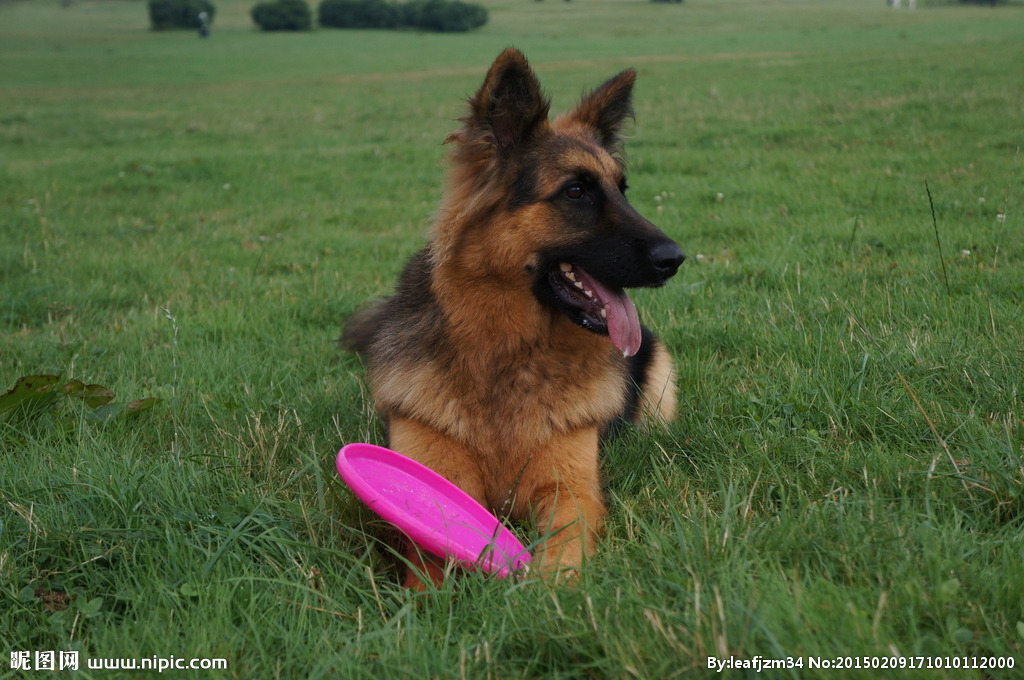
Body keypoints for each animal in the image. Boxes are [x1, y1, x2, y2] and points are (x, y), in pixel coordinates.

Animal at [344, 49, 688, 589]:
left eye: (623, 189)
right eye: (576, 191)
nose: (675, 259)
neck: (505, 357)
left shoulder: (570, 491)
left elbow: (563, 547)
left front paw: (543, 594)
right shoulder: (435, 467)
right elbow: (427, 551)